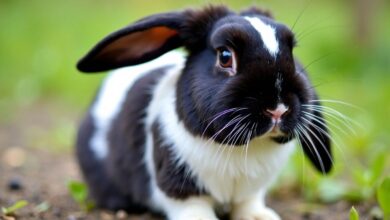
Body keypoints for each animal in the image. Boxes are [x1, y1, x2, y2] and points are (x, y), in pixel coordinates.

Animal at [75, 5, 332, 220]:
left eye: (291, 53)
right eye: (225, 56)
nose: (278, 108)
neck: (242, 149)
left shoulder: (252, 189)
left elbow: (249, 202)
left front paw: (260, 217)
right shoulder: (177, 184)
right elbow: (191, 205)